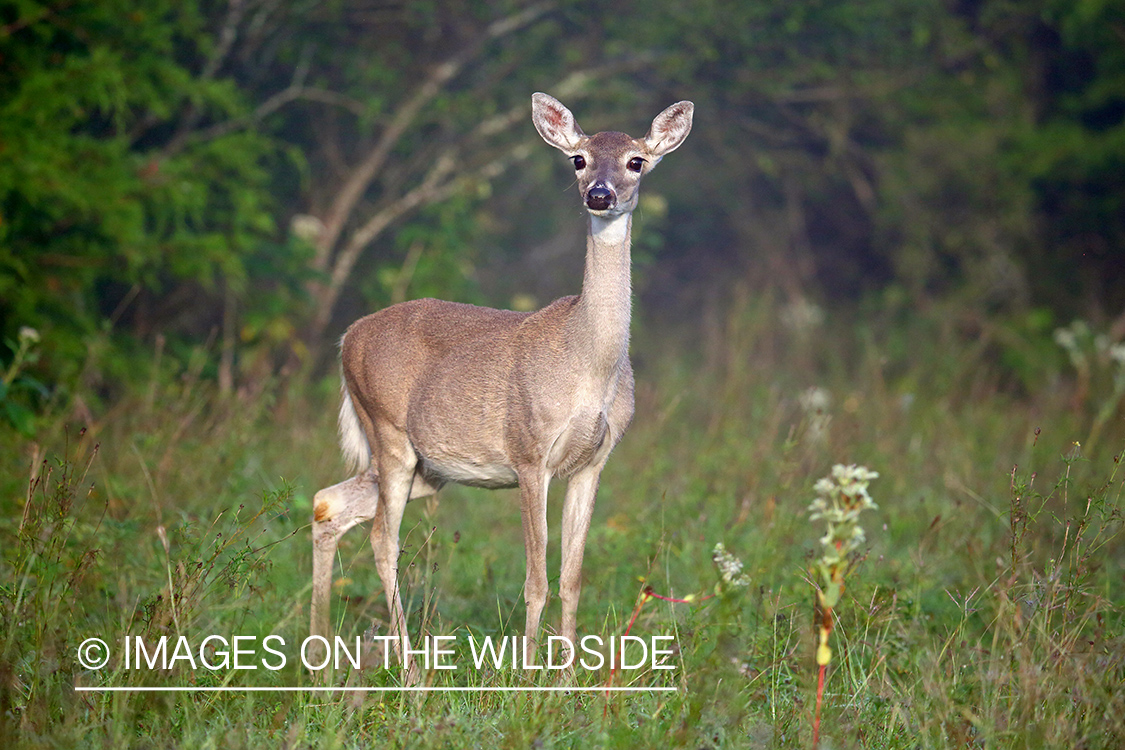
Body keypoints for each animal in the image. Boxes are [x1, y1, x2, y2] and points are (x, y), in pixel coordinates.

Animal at [310, 91, 693, 679]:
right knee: (381, 539)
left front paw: (568, 682)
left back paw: (320, 664)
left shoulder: (595, 461)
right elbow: (536, 581)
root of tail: (346, 337)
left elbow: (572, 579)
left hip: (429, 468)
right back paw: (410, 671)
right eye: (578, 159)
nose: (599, 195)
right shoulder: (528, 451)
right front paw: (529, 678)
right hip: (388, 431)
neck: (589, 365)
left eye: (637, 161)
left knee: (328, 503)